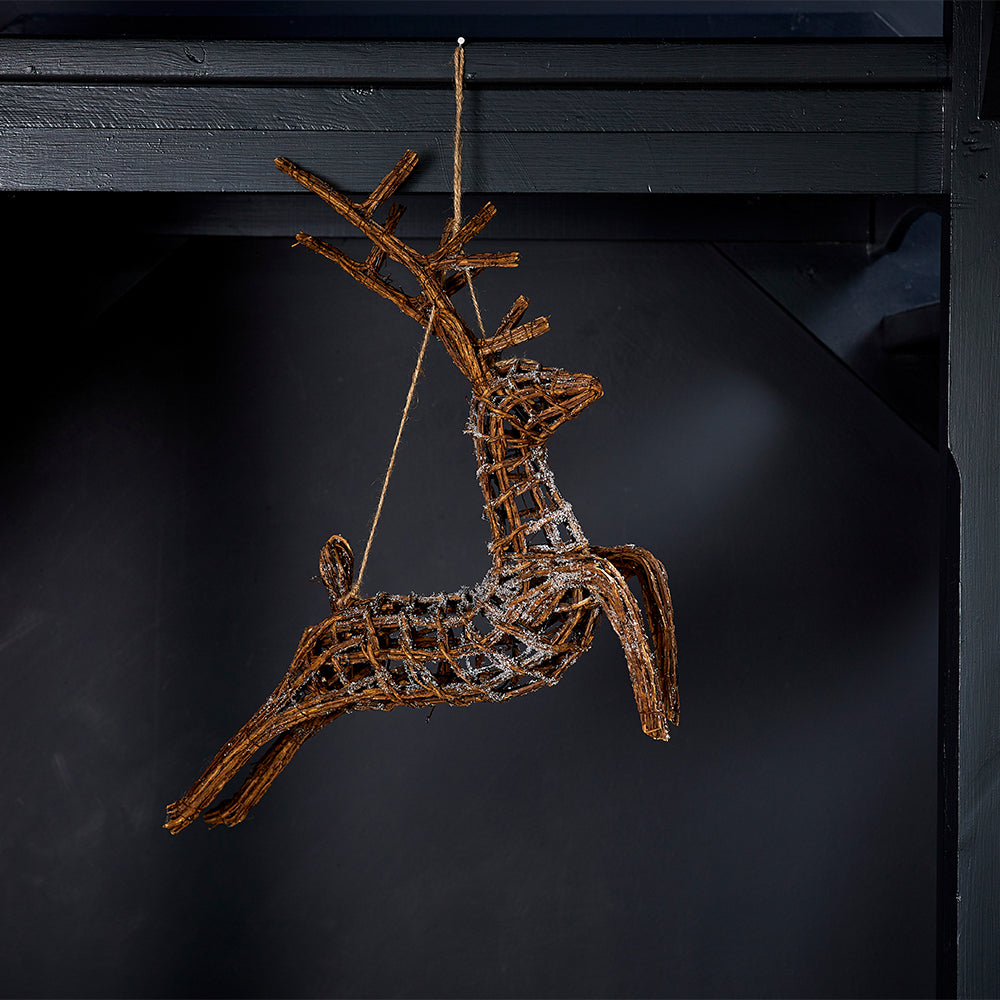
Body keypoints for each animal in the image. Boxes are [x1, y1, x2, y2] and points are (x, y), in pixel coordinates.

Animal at [164, 150, 677, 834]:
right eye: (524, 381)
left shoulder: (582, 569)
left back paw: (227, 813)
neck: (521, 553)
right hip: (312, 678)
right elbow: (608, 576)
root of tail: (339, 604)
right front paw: (654, 714)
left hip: (343, 697)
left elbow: (635, 560)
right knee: (261, 722)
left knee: (287, 737)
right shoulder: (533, 604)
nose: (590, 383)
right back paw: (182, 810)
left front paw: (668, 697)